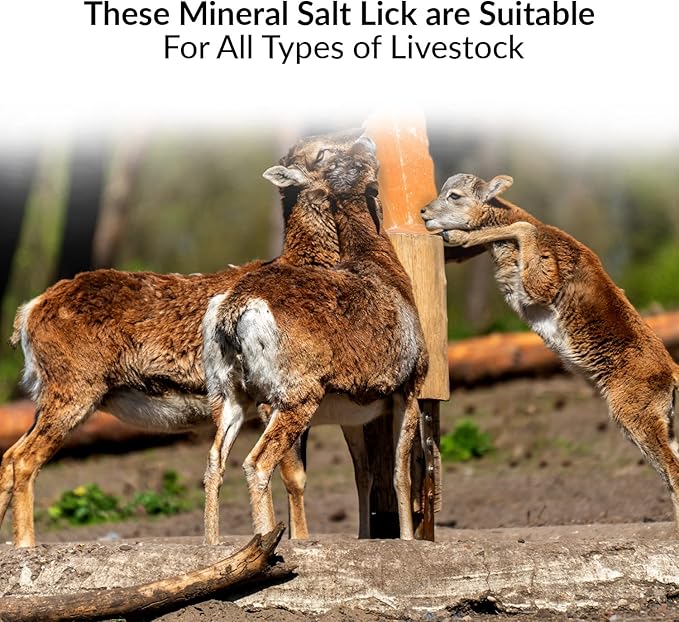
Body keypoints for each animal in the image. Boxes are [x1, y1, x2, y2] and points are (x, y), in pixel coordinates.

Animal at [1, 129, 381, 548]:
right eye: (323, 152)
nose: (366, 138)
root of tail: (30, 311)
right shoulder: (276, 401)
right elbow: (293, 477)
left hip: (50, 399)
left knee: (9, 457)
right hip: (72, 394)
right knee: (24, 460)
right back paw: (26, 545)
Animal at [201, 135, 429, 542]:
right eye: (322, 154)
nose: (365, 139)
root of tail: (235, 309)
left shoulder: (355, 415)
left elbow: (364, 475)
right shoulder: (409, 392)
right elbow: (399, 476)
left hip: (230, 400)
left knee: (215, 464)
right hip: (293, 402)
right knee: (258, 464)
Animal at [421, 173, 679, 530]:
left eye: (455, 195)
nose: (424, 212)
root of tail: (672, 373)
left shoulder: (539, 284)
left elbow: (522, 228)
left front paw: (458, 235)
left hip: (636, 419)